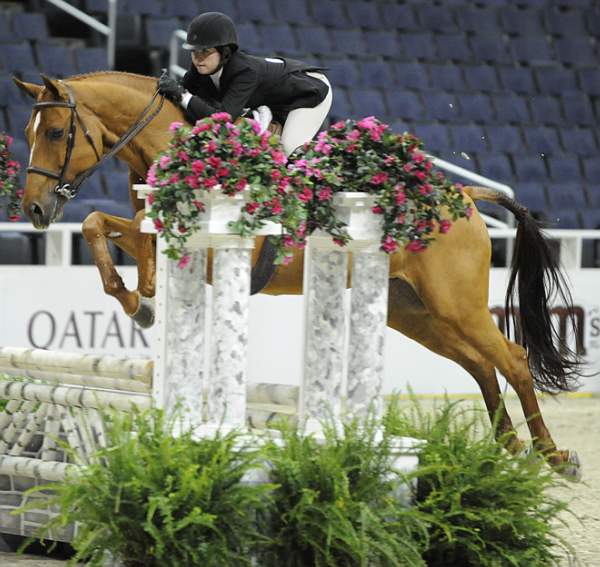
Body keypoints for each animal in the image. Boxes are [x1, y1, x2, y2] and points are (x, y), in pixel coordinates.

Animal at [14, 71, 584, 480]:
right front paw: (141, 300)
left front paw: (144, 300)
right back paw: (510, 445)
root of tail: (463, 196)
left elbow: (121, 235)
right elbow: (99, 225)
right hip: (415, 313)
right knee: (481, 366)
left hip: (454, 305)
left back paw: (555, 457)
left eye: (59, 133)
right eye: (27, 134)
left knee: (512, 359)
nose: (36, 211)